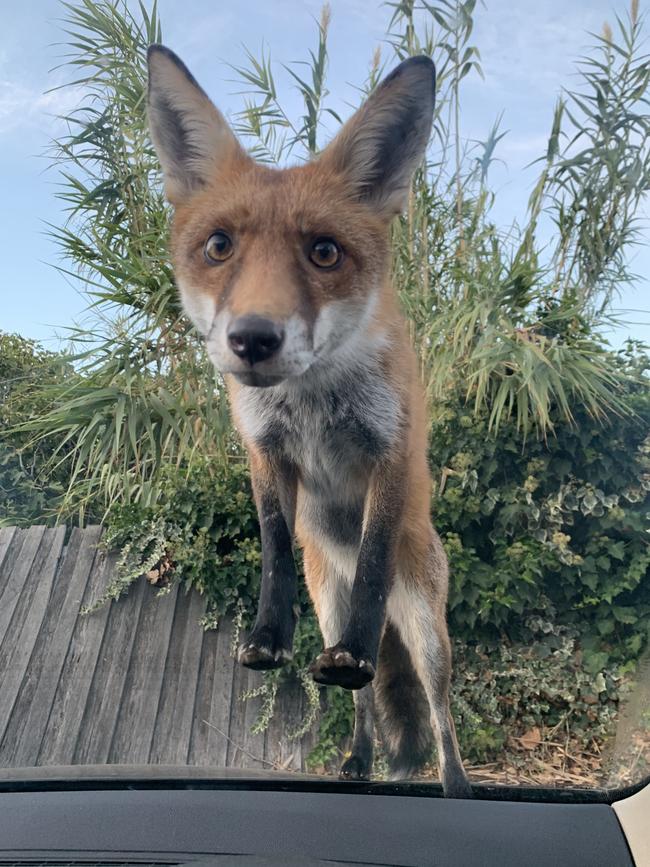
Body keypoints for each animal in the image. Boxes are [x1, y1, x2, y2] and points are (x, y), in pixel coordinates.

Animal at [147, 42, 470, 800]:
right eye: (220, 246)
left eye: (324, 252)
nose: (253, 339)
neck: (315, 397)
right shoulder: (266, 455)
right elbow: (272, 551)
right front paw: (267, 638)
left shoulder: (389, 452)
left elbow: (375, 555)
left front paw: (351, 652)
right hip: (328, 598)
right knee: (364, 701)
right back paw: (356, 763)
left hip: (426, 630)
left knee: (440, 713)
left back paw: (456, 787)